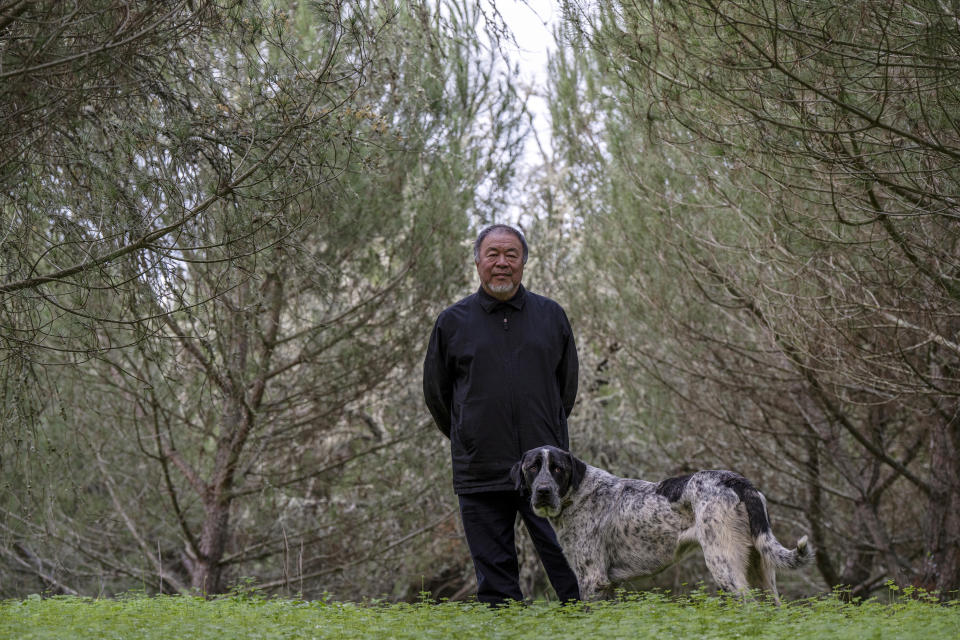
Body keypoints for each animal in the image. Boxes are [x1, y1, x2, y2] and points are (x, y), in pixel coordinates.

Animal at [506, 444, 812, 600]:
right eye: (532, 467)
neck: (579, 493)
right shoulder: (608, 585)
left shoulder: (592, 580)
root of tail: (737, 481)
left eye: (557, 469)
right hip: (762, 570)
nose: (543, 491)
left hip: (723, 565)